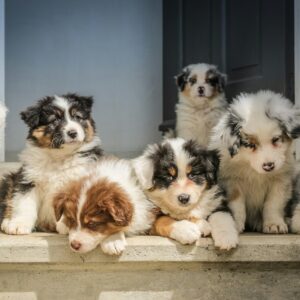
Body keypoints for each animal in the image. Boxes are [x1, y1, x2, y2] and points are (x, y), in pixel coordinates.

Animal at [0, 94, 102, 234]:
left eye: (77, 117)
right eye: (54, 120)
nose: (73, 133)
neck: (59, 156)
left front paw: (67, 225)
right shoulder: (28, 180)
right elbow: (24, 203)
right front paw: (19, 224)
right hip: (10, 179)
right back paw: (7, 222)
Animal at [209, 90, 300, 233]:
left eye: (275, 139)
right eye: (250, 145)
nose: (269, 166)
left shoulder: (280, 180)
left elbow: (273, 203)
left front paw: (274, 224)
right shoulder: (232, 182)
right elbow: (237, 205)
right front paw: (235, 224)